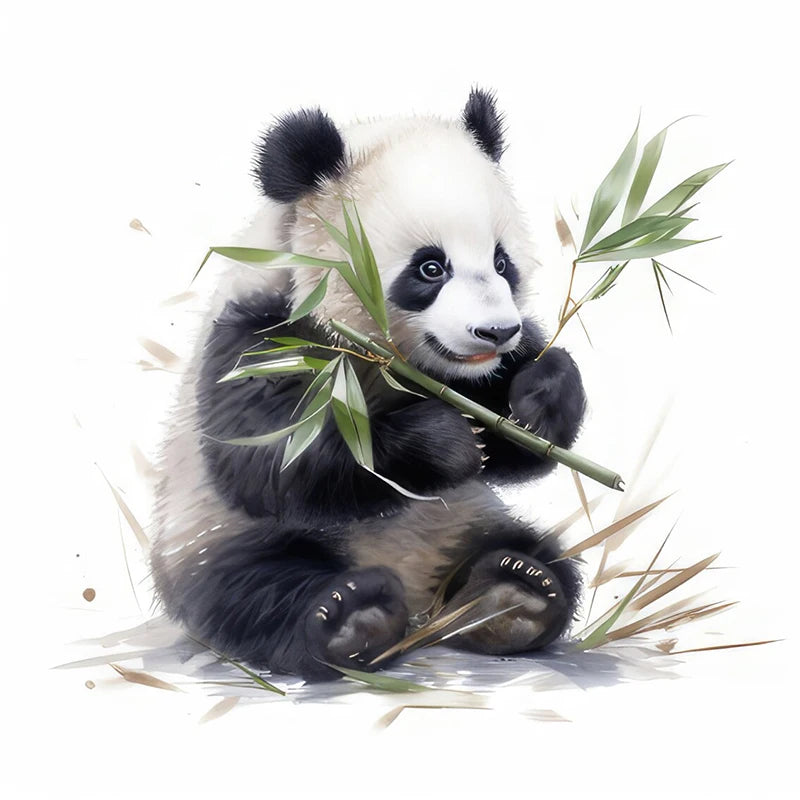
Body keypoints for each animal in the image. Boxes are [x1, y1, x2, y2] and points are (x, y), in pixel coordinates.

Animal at [151, 88, 587, 681]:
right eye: (430, 268)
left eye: (502, 262)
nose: (496, 332)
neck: (379, 356)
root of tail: (422, 602)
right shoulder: (259, 331)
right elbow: (275, 455)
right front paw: (444, 443)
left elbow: (516, 444)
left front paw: (537, 400)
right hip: (210, 538)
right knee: (253, 589)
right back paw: (352, 618)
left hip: (464, 520)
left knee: (534, 553)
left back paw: (512, 593)